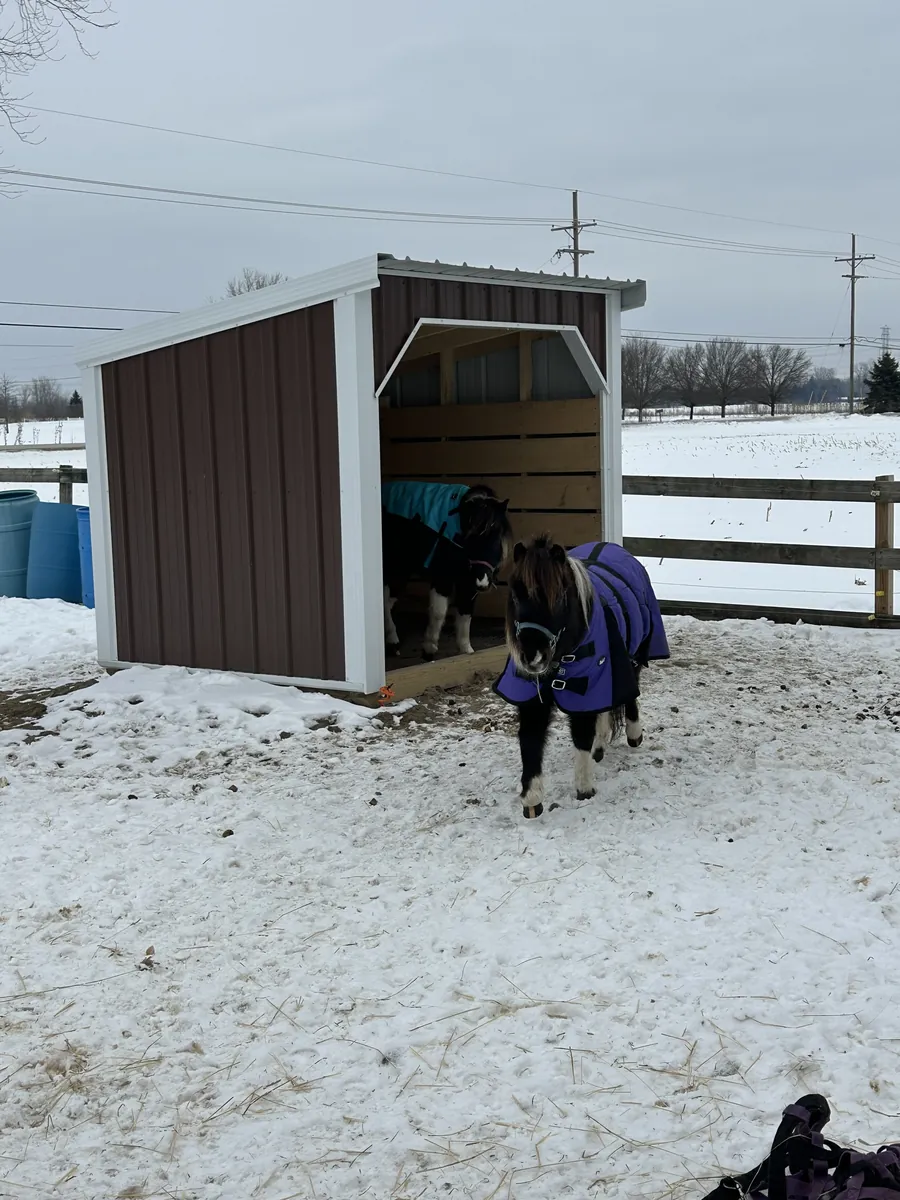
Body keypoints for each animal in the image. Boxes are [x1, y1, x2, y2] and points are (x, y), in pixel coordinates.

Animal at [381, 481, 513, 661]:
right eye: (471, 536)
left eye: (497, 535)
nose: (483, 582)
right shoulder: (443, 578)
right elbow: (439, 612)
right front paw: (429, 648)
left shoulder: (468, 584)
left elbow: (465, 613)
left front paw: (466, 651)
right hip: (396, 568)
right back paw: (393, 641)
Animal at [494, 535, 670, 819]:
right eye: (516, 596)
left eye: (558, 597)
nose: (532, 657)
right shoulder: (533, 695)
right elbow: (530, 740)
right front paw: (531, 799)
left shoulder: (588, 683)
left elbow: (581, 735)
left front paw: (584, 788)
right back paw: (601, 746)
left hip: (631, 656)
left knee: (630, 693)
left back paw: (633, 734)